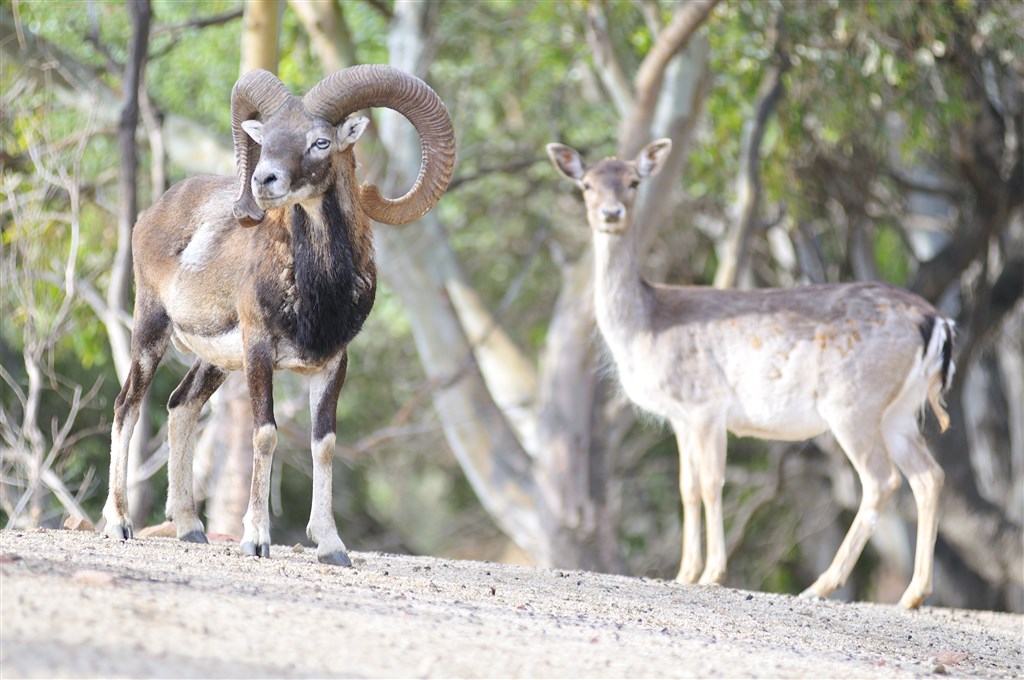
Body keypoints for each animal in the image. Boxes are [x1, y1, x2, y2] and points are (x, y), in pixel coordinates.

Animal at [103, 66, 456, 565]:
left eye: (320, 141)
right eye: (265, 139)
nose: (263, 181)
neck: (317, 291)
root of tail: (150, 215)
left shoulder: (332, 364)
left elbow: (323, 445)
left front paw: (331, 547)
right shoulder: (259, 352)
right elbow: (265, 434)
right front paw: (256, 540)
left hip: (213, 363)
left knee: (180, 406)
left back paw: (191, 528)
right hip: (150, 330)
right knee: (127, 406)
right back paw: (119, 523)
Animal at [548, 140, 954, 606]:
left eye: (633, 181)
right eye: (587, 184)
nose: (611, 213)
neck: (646, 328)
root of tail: (936, 321)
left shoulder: (705, 403)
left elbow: (711, 482)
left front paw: (712, 573)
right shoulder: (680, 416)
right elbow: (686, 487)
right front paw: (684, 572)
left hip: (853, 401)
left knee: (881, 480)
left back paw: (821, 585)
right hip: (899, 410)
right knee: (928, 475)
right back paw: (912, 594)